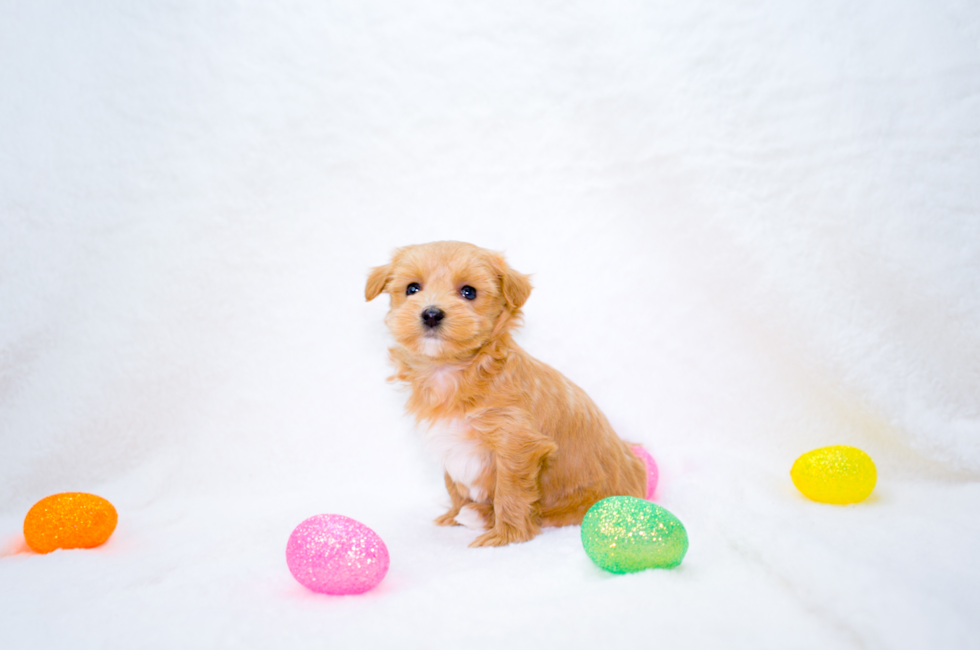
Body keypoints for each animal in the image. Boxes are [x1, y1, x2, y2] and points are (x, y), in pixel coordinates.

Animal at [364, 240, 648, 544]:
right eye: (412, 288)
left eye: (469, 292)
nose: (431, 313)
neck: (453, 371)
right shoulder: (448, 442)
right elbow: (454, 485)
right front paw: (452, 516)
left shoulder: (516, 444)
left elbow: (510, 492)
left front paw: (506, 536)